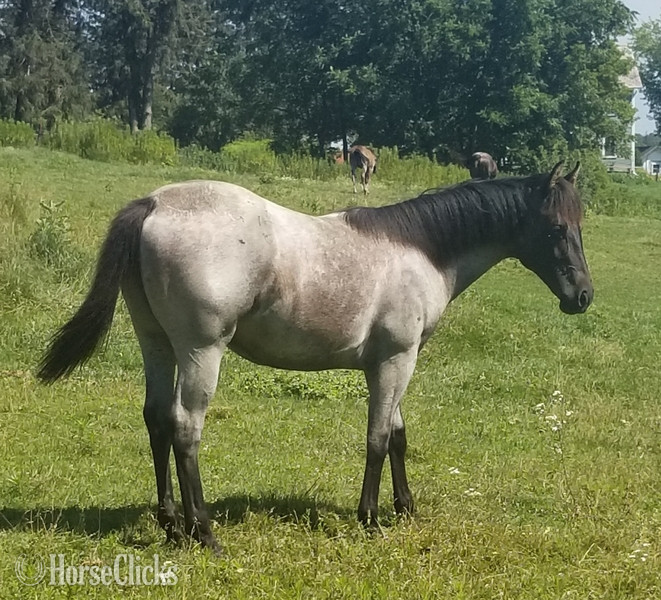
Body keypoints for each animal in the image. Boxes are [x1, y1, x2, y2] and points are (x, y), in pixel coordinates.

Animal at [37, 161, 592, 554]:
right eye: (556, 229)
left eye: (578, 225)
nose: (583, 297)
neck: (418, 249)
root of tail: (154, 203)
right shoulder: (396, 361)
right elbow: (377, 439)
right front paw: (370, 519)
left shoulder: (390, 363)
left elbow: (398, 436)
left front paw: (406, 509)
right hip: (200, 351)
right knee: (184, 429)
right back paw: (204, 533)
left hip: (157, 343)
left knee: (155, 420)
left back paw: (172, 526)